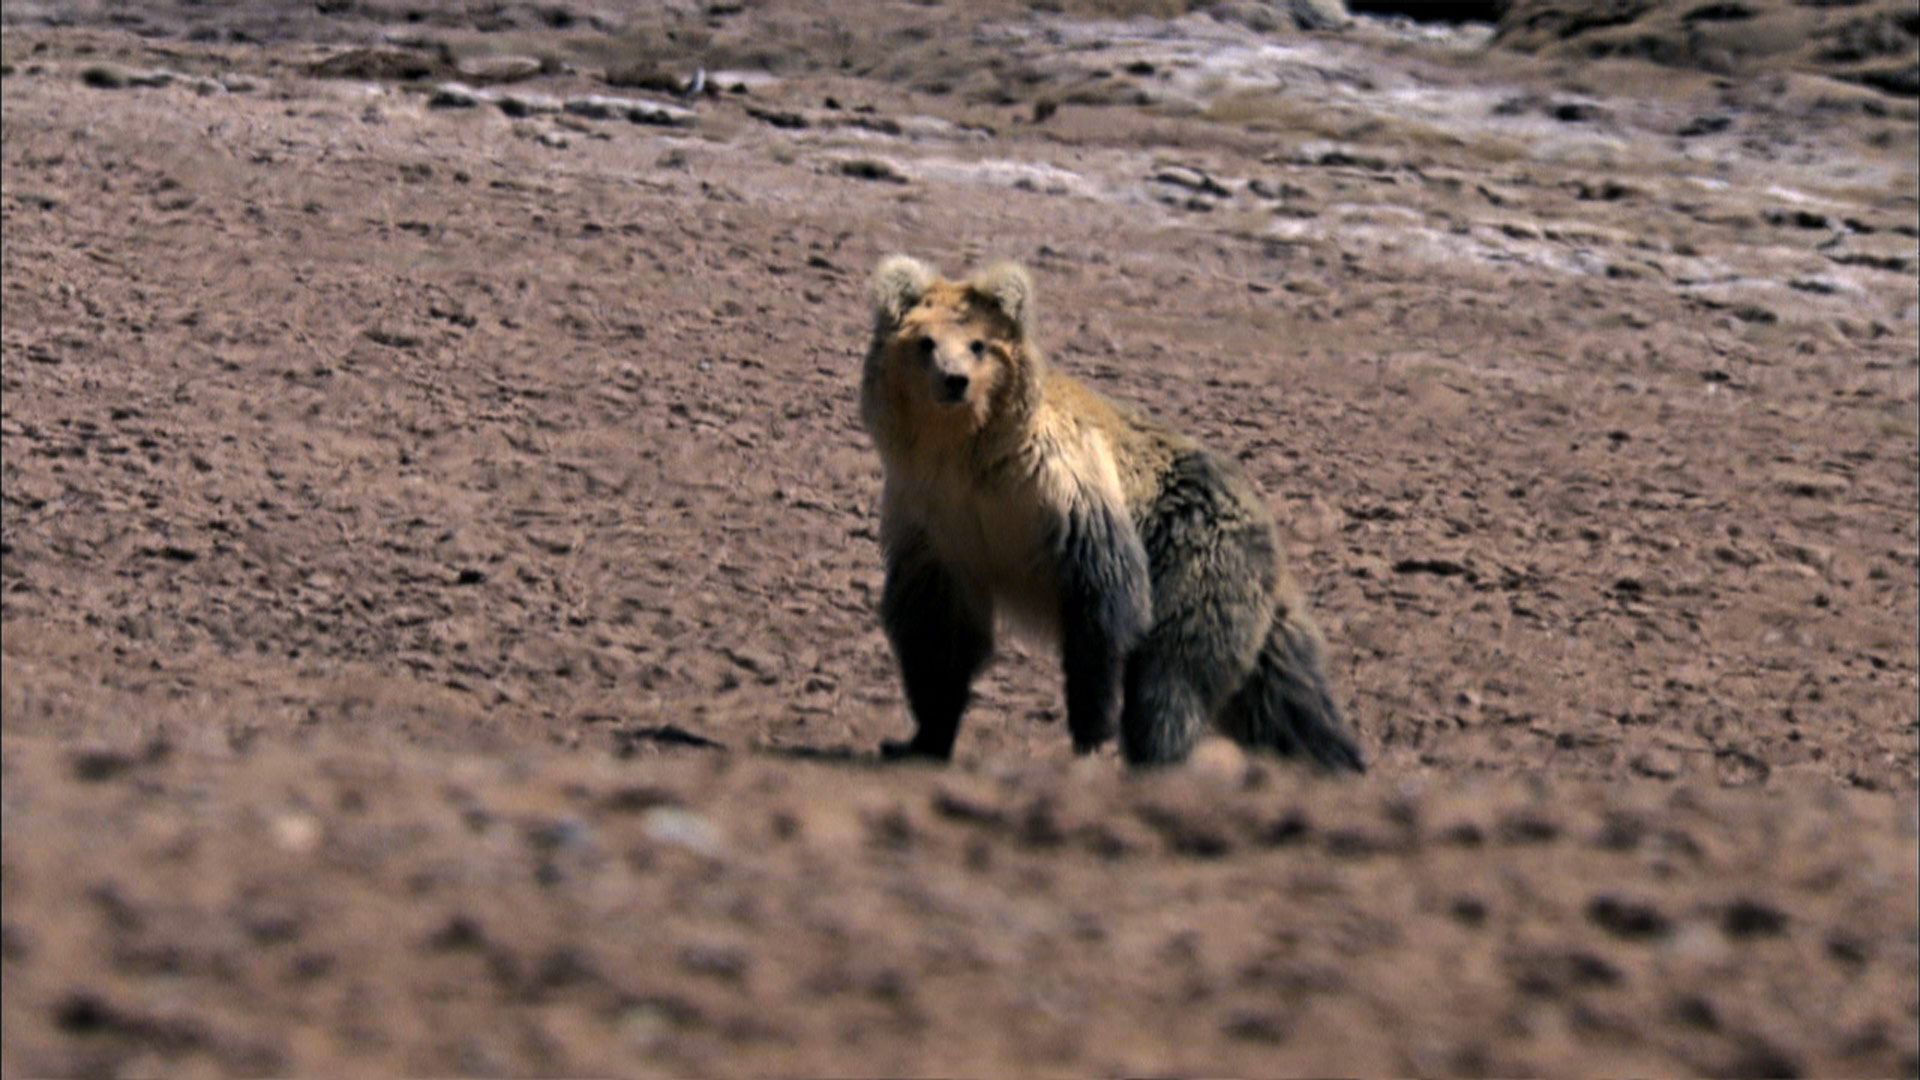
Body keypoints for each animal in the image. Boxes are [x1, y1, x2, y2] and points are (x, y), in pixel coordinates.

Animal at [861, 254, 1364, 772]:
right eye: (926, 342)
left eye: (979, 344)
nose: (954, 380)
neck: (969, 454)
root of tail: (1261, 514)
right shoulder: (936, 518)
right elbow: (937, 633)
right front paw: (919, 739)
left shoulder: (1063, 493)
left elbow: (1102, 602)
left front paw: (1090, 728)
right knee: (1288, 697)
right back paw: (1334, 758)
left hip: (1194, 562)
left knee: (1171, 682)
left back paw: (1158, 756)